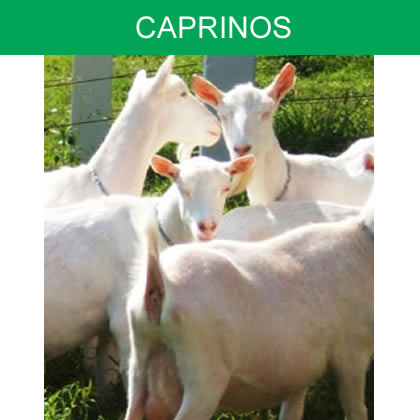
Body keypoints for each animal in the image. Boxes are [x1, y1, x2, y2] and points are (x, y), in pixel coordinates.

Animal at [125, 187, 374, 420]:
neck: (363, 244)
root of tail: (160, 283)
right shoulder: (352, 353)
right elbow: (357, 410)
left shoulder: (300, 368)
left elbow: (292, 411)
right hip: (203, 377)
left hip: (140, 361)